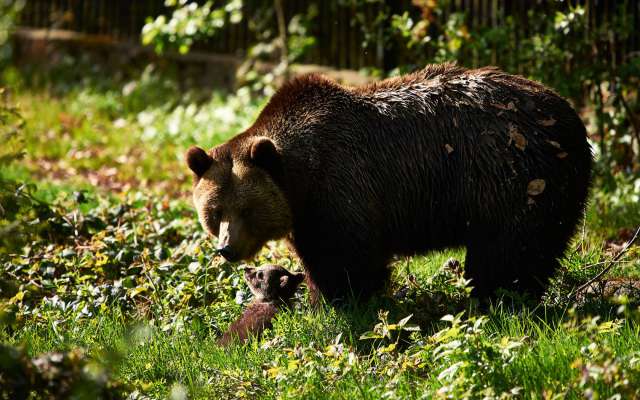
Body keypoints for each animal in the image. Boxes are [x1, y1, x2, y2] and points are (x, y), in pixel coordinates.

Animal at [188, 64, 592, 302]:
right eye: (214, 211)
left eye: (246, 208)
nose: (226, 248)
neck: (300, 178)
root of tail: (571, 117)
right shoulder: (306, 212)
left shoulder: (341, 189)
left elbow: (346, 260)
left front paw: (337, 302)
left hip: (514, 178)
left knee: (507, 251)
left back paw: (499, 297)